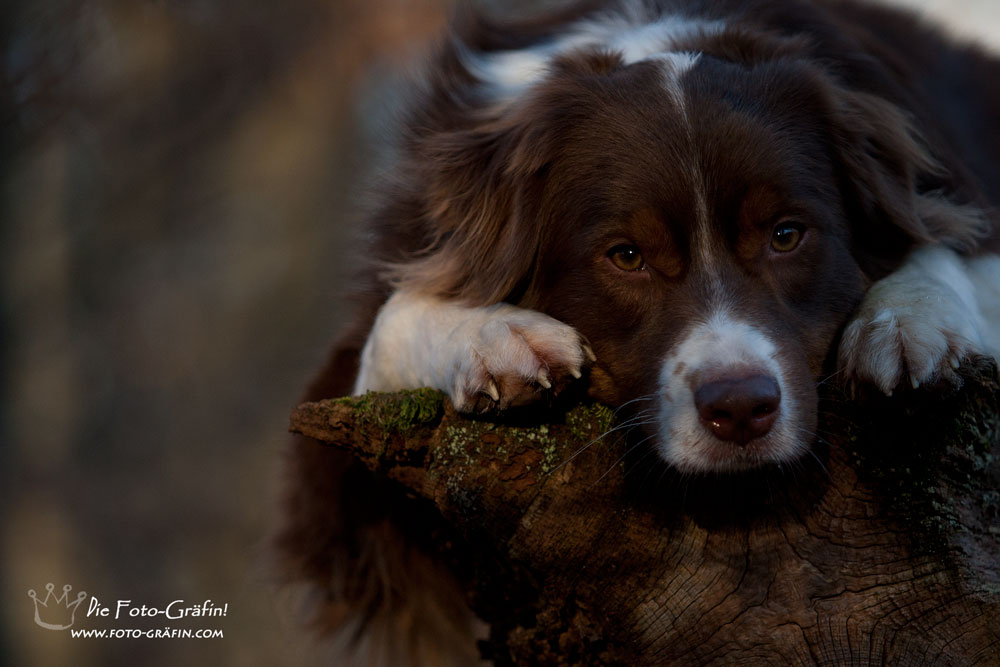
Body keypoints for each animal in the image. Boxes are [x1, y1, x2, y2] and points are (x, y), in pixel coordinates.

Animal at [278, 0, 1000, 664]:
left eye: (786, 234)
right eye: (627, 256)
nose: (742, 409)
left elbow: (944, 249)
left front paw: (908, 323)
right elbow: (394, 319)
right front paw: (496, 339)